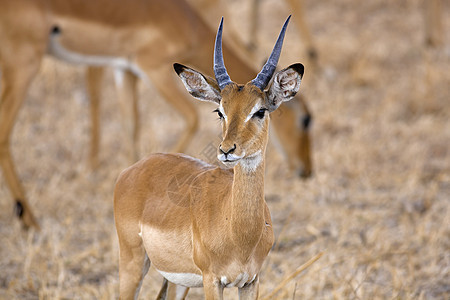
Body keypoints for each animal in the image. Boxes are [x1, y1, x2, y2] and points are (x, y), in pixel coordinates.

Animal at [113, 17, 302, 300]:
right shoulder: (212, 280)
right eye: (219, 111)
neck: (238, 232)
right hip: (133, 262)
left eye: (260, 111)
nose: (227, 150)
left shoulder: (251, 281)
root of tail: (132, 169)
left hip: (177, 282)